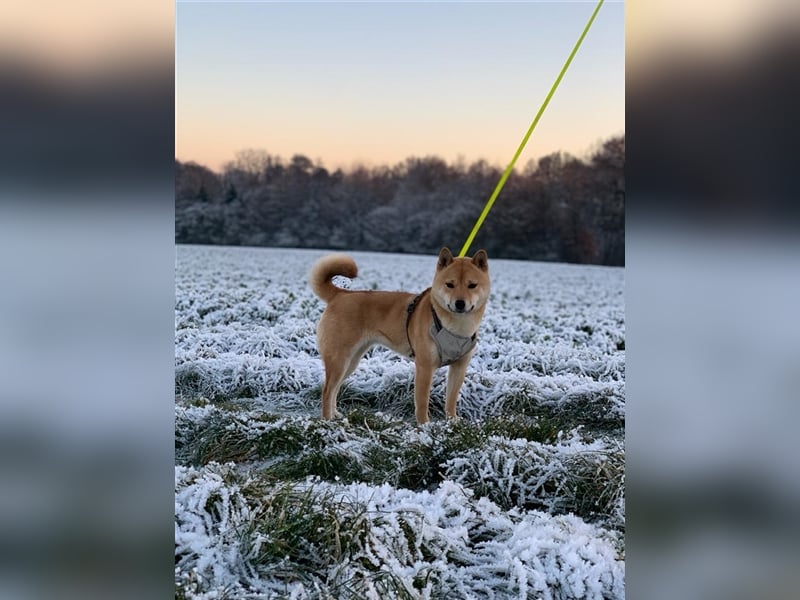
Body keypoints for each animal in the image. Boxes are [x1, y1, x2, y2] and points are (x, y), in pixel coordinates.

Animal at [310, 246, 488, 424]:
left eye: (472, 285)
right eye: (449, 285)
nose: (460, 303)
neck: (456, 327)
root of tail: (340, 294)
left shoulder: (459, 367)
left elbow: (451, 399)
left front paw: (452, 421)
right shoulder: (424, 367)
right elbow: (422, 402)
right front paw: (425, 425)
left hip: (351, 361)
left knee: (335, 388)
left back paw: (335, 415)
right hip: (340, 359)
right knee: (327, 391)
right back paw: (327, 420)